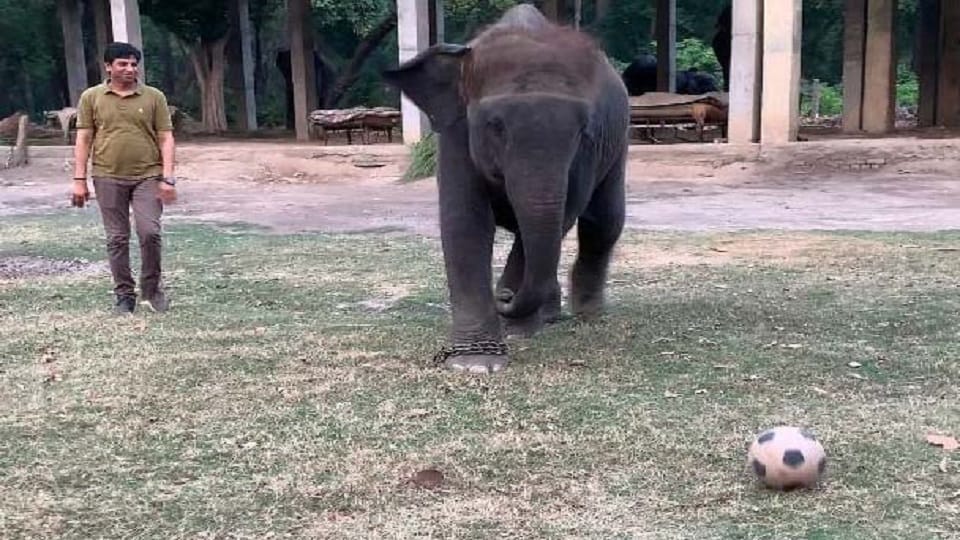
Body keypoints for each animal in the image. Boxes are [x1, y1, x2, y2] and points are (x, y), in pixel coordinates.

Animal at [382, 4, 629, 374]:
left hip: (619, 146)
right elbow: (465, 221)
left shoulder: (588, 153)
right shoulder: (456, 133)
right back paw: (548, 316)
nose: (505, 297)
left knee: (604, 222)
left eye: (583, 129)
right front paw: (474, 362)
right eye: (494, 125)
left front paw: (514, 330)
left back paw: (587, 316)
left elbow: (561, 216)